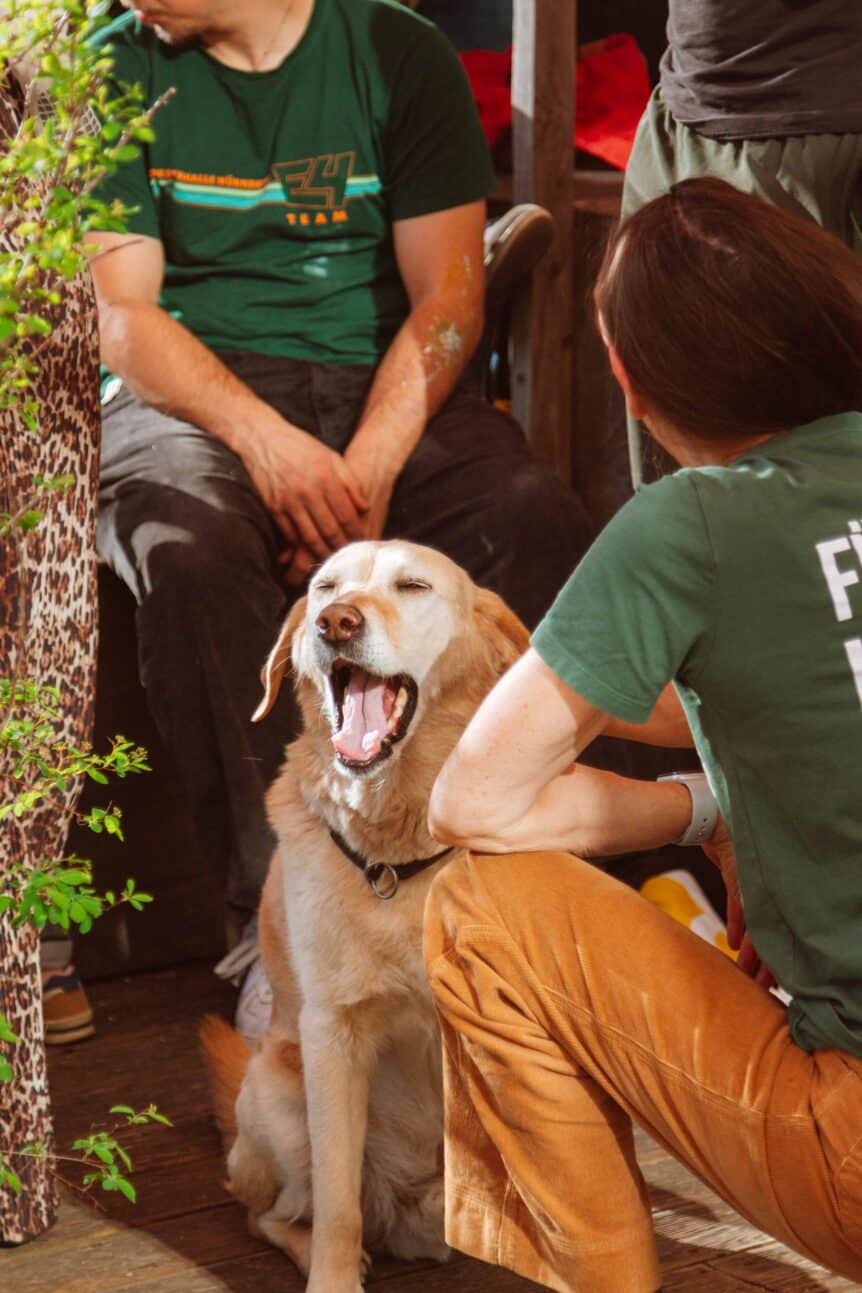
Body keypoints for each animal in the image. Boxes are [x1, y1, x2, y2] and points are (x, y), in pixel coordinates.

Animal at [201, 539, 528, 1293]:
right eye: (325, 588)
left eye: (412, 586)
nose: (336, 623)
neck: (397, 859)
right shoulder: (333, 1034)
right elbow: (338, 1201)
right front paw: (333, 1274)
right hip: (279, 1096)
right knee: (270, 1214)